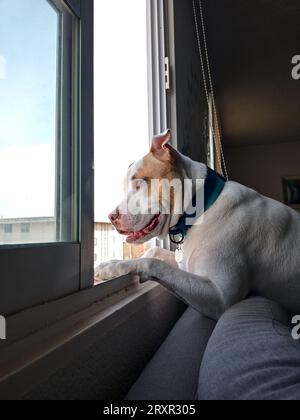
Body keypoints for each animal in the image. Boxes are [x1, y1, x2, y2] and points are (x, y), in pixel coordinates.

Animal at [96, 130, 300, 320]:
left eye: (139, 184)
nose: (111, 217)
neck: (203, 207)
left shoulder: (220, 296)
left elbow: (153, 263)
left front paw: (115, 267)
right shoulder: (185, 264)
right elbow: (154, 252)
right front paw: (113, 263)